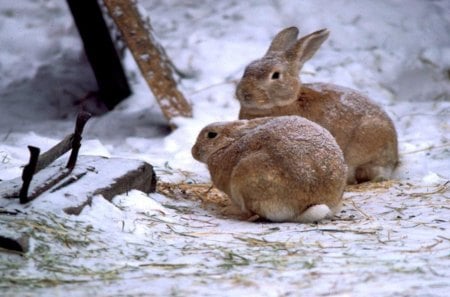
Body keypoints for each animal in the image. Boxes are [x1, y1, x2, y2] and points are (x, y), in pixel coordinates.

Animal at [192, 115, 346, 222]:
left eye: (211, 135)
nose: (193, 151)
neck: (228, 144)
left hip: (246, 181)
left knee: (253, 214)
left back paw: (229, 211)